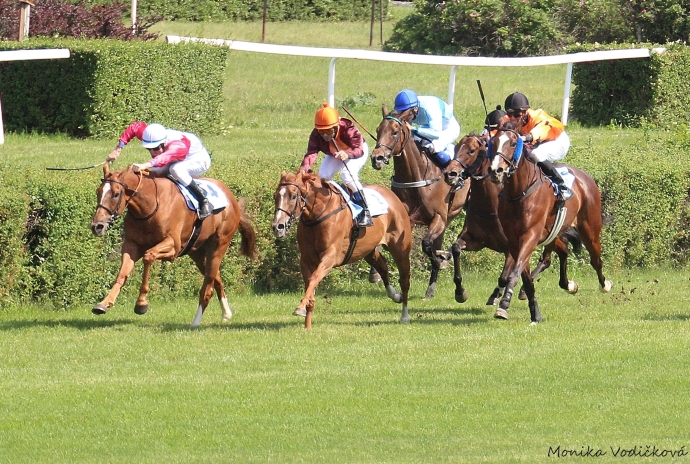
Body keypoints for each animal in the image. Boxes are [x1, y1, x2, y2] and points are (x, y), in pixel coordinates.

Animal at [88, 163, 255, 326]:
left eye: (116, 194)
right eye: (98, 192)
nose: (97, 226)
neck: (149, 206)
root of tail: (232, 198)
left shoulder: (173, 247)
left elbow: (148, 256)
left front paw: (141, 303)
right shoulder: (132, 245)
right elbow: (122, 273)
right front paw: (104, 303)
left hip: (219, 245)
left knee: (208, 287)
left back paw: (195, 323)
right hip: (197, 252)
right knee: (217, 279)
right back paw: (226, 314)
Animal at [268, 171, 408, 330]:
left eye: (293, 196)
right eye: (275, 196)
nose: (277, 226)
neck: (316, 216)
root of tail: (392, 196)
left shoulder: (330, 257)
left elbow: (314, 278)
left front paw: (301, 307)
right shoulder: (305, 259)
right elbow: (310, 283)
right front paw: (307, 324)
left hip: (400, 247)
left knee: (404, 279)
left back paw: (405, 315)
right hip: (368, 250)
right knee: (383, 267)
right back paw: (395, 295)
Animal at [368, 105, 470, 300]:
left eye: (395, 132)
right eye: (378, 130)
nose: (377, 158)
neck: (415, 176)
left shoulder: (438, 217)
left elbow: (426, 244)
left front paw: (440, 260)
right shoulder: (408, 218)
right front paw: (374, 273)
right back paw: (431, 288)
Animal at [444, 134, 584, 306]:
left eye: (471, 150)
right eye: (456, 148)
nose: (450, 173)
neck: (489, 205)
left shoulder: (511, 248)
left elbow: (505, 277)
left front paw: (496, 296)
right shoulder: (475, 239)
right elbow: (456, 248)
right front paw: (460, 291)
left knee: (548, 258)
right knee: (561, 250)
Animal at [486, 125, 612, 324]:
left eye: (513, 143)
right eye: (494, 141)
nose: (495, 171)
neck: (519, 192)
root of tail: (586, 177)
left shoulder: (530, 236)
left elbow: (514, 273)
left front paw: (504, 305)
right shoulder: (515, 241)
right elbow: (525, 277)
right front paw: (535, 313)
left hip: (589, 228)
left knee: (595, 259)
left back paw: (604, 284)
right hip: (552, 232)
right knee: (562, 251)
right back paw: (568, 284)